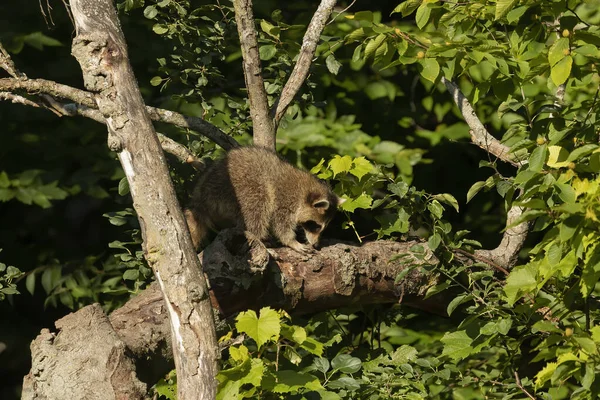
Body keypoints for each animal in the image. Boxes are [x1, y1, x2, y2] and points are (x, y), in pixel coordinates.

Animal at [183, 146, 342, 253]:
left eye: (323, 228)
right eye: (316, 226)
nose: (316, 245)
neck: (305, 191)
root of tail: (200, 196)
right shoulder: (284, 199)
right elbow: (280, 224)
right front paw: (291, 241)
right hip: (236, 188)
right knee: (257, 207)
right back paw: (260, 239)